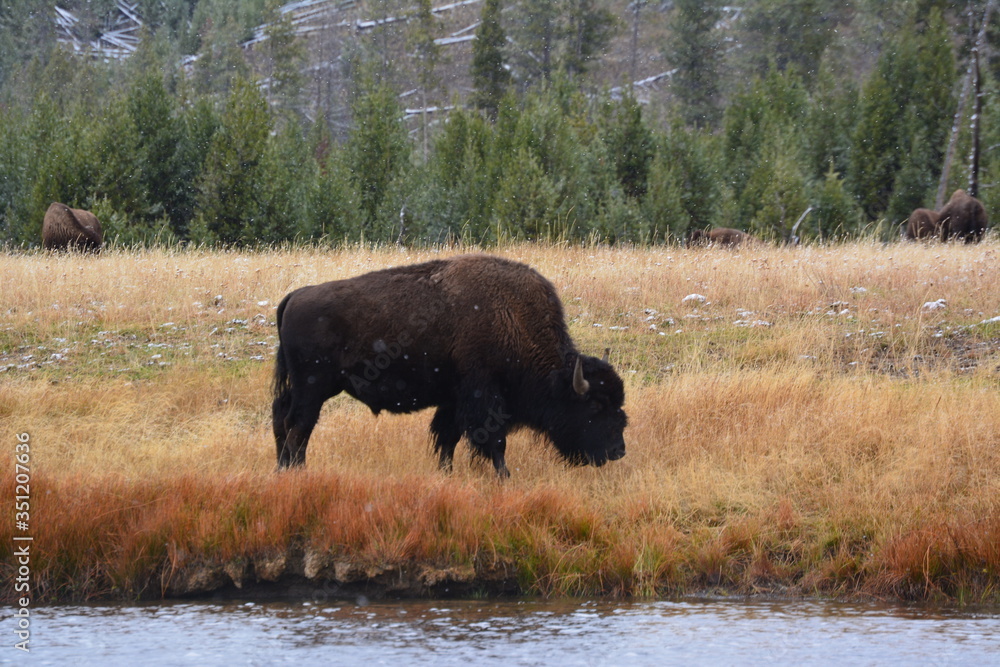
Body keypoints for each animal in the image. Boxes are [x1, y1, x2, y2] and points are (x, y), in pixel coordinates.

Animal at [270, 253, 628, 478]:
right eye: (595, 406)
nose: (618, 450)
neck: (512, 318)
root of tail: (295, 296)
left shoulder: (454, 400)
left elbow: (448, 438)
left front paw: (447, 473)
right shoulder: (483, 396)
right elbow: (493, 440)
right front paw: (505, 476)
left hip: (305, 387)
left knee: (281, 417)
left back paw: (282, 469)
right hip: (313, 386)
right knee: (298, 425)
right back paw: (298, 472)